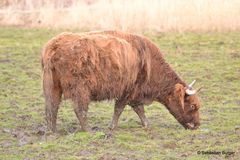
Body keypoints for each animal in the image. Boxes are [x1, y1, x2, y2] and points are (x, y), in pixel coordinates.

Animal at [41, 31, 201, 132]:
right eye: (193, 106)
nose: (197, 125)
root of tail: (54, 45)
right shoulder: (128, 90)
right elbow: (119, 108)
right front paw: (112, 127)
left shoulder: (135, 93)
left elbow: (139, 109)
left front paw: (146, 124)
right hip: (81, 88)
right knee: (79, 109)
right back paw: (87, 130)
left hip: (52, 85)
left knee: (51, 107)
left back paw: (51, 131)